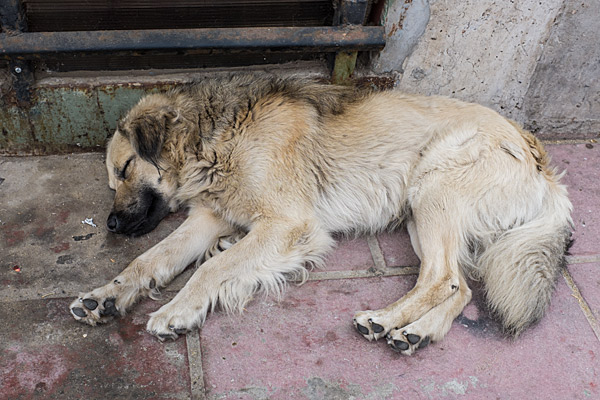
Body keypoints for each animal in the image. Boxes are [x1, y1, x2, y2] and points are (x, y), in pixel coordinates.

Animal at [70, 74, 572, 355]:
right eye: (113, 182)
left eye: (126, 168)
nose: (111, 224)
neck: (214, 137)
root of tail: (540, 161)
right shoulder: (207, 218)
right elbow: (149, 260)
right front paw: (106, 295)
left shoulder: (289, 223)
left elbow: (209, 271)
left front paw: (177, 311)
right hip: (418, 211)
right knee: (460, 286)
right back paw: (416, 332)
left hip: (434, 189)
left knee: (443, 278)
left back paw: (387, 320)